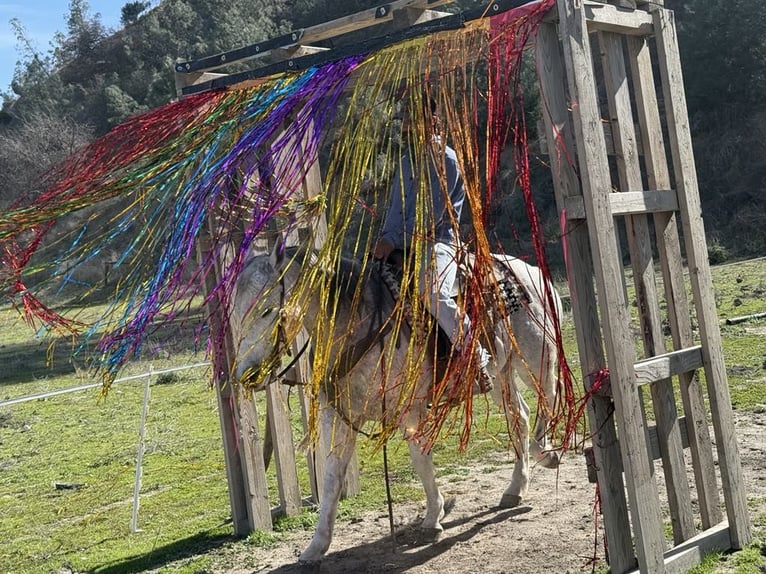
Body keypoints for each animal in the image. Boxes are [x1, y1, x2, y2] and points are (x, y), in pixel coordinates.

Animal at [232, 245, 564, 564]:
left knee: (547, 401)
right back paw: (516, 488)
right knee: (519, 416)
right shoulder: (338, 417)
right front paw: (315, 547)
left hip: (537, 360)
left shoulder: (411, 409)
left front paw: (433, 518)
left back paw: (546, 452)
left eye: (266, 310)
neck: (356, 324)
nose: (246, 374)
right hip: (499, 375)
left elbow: (420, 458)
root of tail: (531, 270)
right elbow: (331, 478)